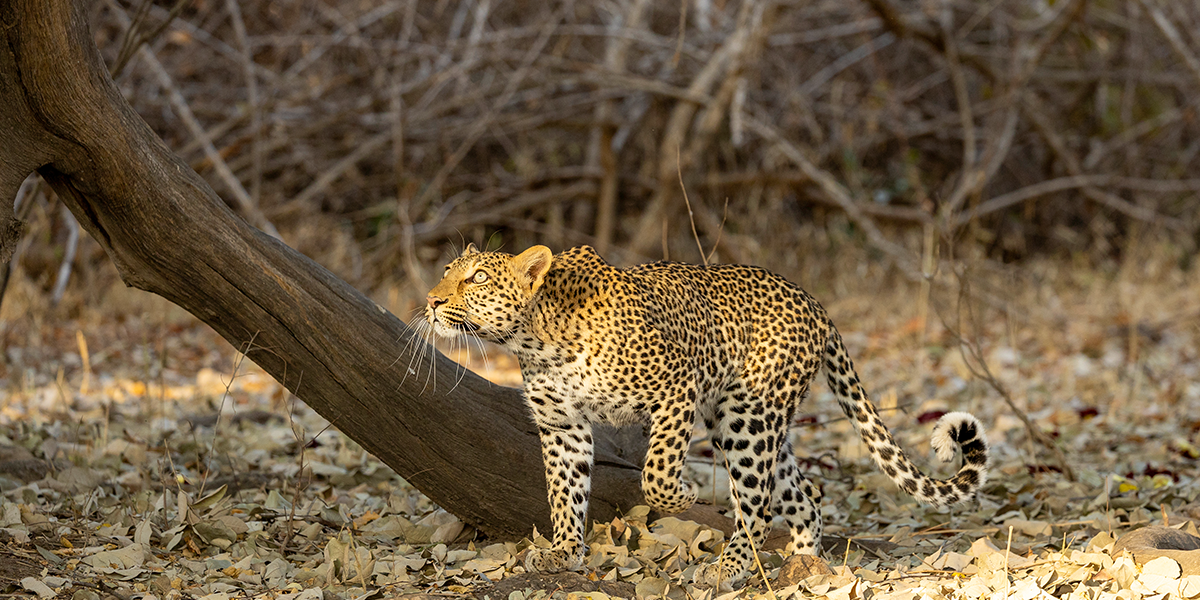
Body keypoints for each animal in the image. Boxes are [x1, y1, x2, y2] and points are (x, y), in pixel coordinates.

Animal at [423, 244, 989, 589]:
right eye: (446, 273)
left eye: (475, 279)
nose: (430, 300)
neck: (534, 337)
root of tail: (816, 303)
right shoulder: (563, 428)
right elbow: (564, 493)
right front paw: (563, 552)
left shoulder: (678, 386)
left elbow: (655, 473)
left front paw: (685, 495)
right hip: (752, 423)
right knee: (802, 494)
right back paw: (805, 566)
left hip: (745, 416)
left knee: (758, 505)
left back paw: (731, 567)